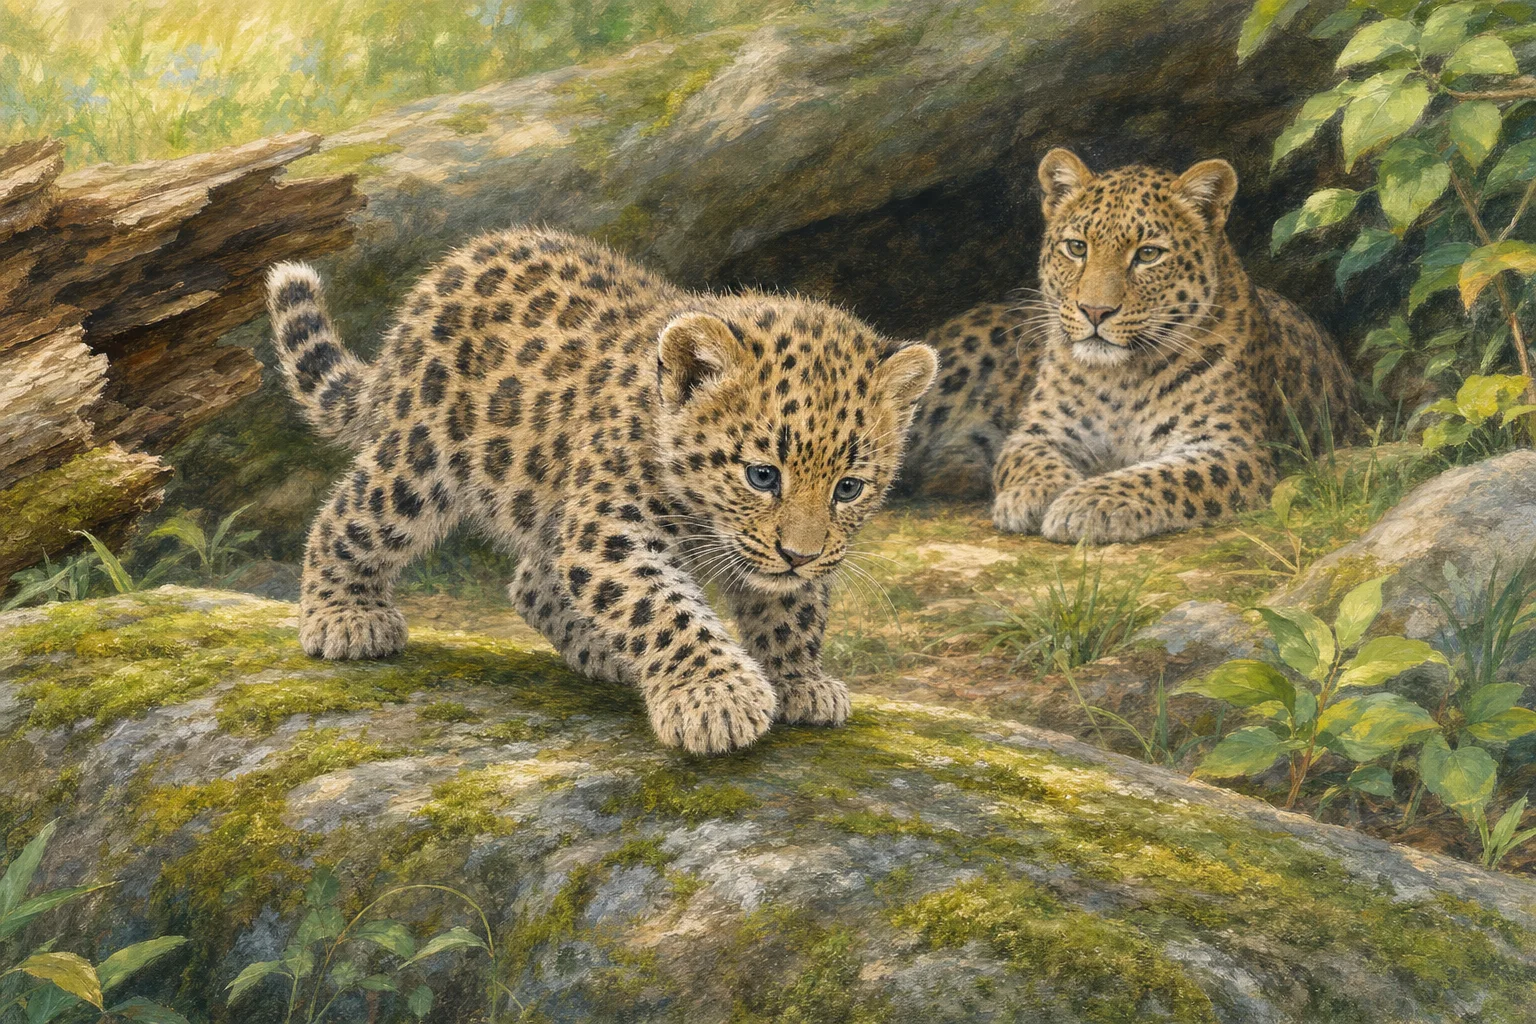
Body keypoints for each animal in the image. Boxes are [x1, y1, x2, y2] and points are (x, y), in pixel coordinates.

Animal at [264, 227, 937, 756]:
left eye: (848, 487)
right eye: (763, 475)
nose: (800, 554)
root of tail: (444, 273)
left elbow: (790, 609)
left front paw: (798, 680)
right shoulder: (608, 528)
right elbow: (661, 609)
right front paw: (716, 697)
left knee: (531, 583)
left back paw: (601, 653)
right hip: (417, 460)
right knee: (348, 518)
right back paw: (345, 617)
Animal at [900, 148, 1353, 543]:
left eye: (1148, 254)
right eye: (1077, 247)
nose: (1095, 311)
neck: (1120, 378)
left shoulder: (1236, 449)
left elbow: (1163, 475)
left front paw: (1089, 502)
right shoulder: (1038, 432)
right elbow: (1028, 461)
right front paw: (1037, 494)